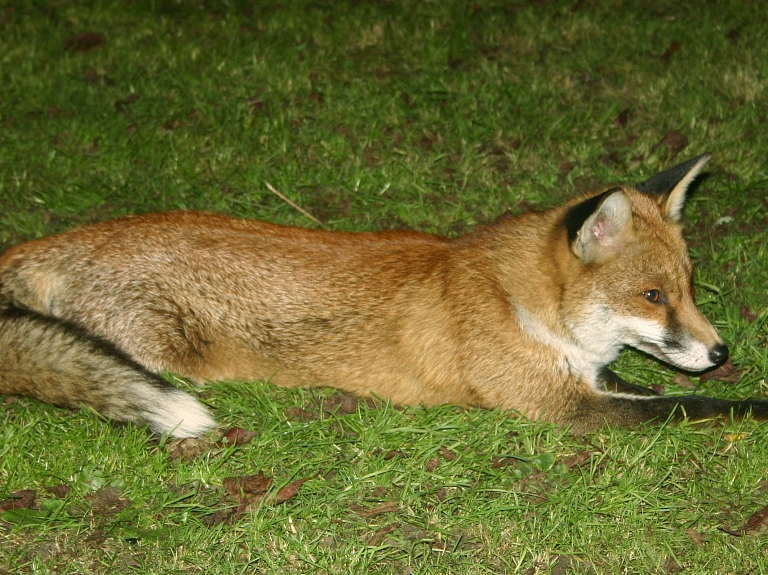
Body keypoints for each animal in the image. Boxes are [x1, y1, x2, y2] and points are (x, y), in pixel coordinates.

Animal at [1, 153, 768, 436]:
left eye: (686, 288)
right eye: (651, 294)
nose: (721, 350)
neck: (518, 302)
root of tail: (52, 242)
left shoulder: (583, 379)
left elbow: (652, 388)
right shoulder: (559, 405)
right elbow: (689, 404)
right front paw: (750, 401)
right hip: (156, 353)